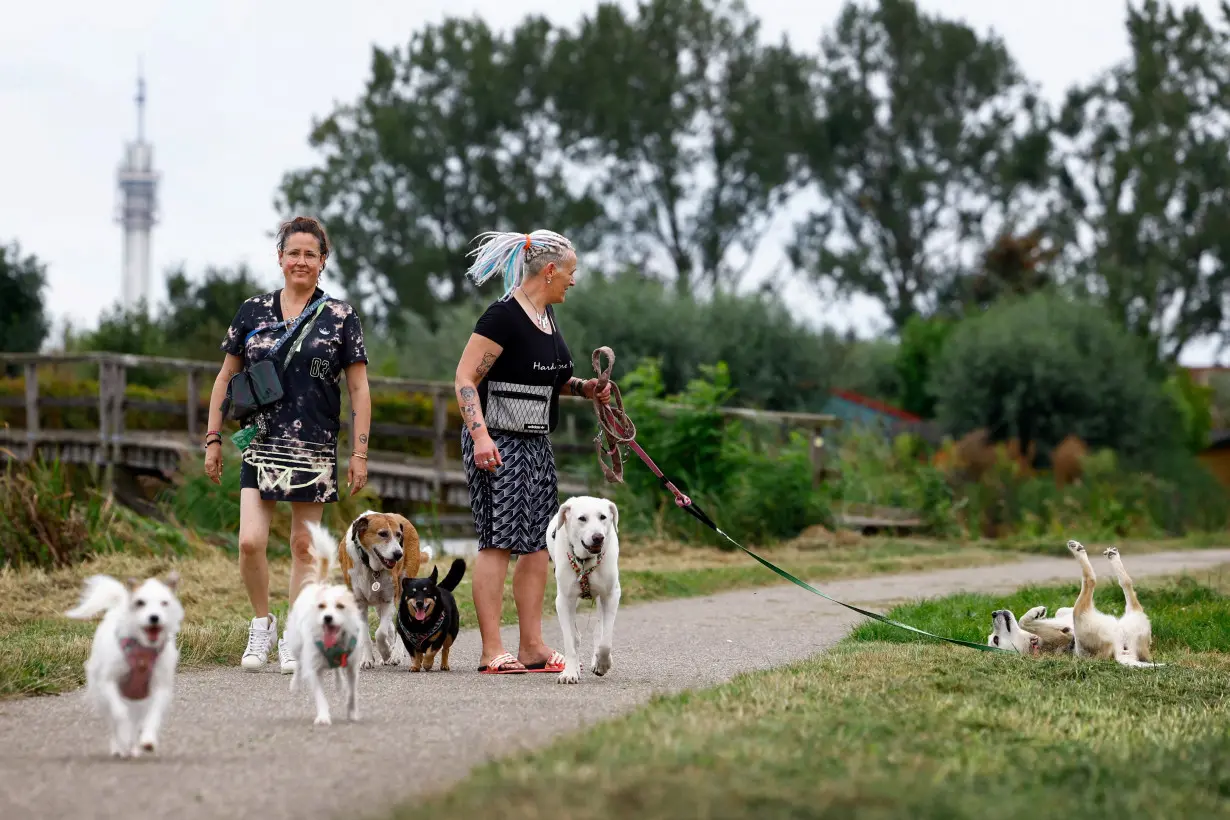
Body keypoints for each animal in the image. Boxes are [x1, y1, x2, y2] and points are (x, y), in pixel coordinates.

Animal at [64, 570, 183, 757]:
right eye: (140, 603)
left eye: (164, 603)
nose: (154, 617)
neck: (142, 649)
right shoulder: (108, 683)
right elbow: (120, 714)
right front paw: (123, 736)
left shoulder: (159, 688)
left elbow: (153, 716)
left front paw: (148, 740)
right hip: (102, 696)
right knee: (114, 721)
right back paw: (119, 746)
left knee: (137, 720)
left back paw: (133, 747)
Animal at [284, 526, 364, 722]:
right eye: (321, 606)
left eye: (340, 606)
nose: (327, 618)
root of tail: (318, 585)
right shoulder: (314, 670)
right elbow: (320, 695)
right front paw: (323, 716)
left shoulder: (352, 667)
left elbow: (352, 692)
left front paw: (352, 712)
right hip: (297, 645)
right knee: (299, 663)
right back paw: (295, 683)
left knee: (337, 671)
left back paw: (339, 683)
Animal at [337, 508, 432, 668]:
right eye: (383, 534)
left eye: (398, 535)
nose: (399, 554)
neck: (370, 565)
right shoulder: (360, 603)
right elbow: (366, 635)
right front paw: (368, 659)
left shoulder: (388, 600)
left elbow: (380, 633)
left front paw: (387, 652)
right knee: (390, 627)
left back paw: (395, 654)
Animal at [548, 496, 624, 683]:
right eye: (582, 518)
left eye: (603, 517)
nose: (598, 537)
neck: (586, 562)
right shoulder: (563, 601)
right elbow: (570, 640)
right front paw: (569, 672)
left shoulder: (611, 596)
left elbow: (605, 640)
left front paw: (602, 663)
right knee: (576, 636)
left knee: (599, 630)